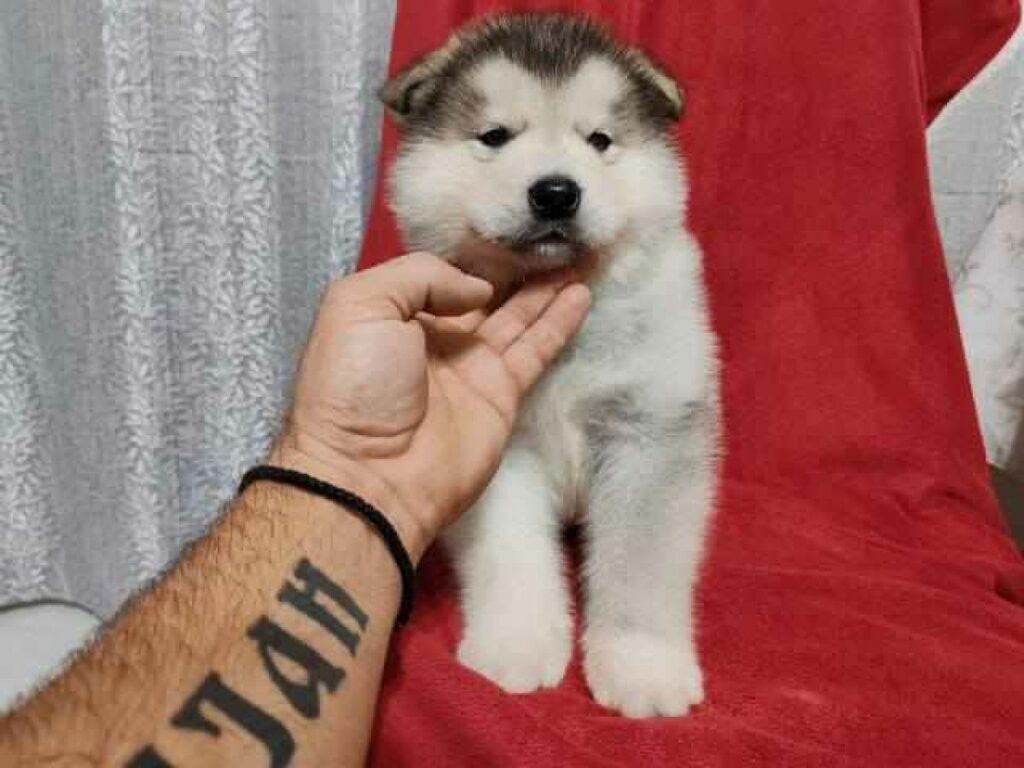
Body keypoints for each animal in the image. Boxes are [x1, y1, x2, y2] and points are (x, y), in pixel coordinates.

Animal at [381, 13, 720, 718]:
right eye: (494, 136)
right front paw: (516, 645)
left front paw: (642, 667)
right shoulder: (501, 449)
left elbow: (640, 568)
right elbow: (511, 556)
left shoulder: (649, 430)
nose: (557, 192)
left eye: (600, 140)